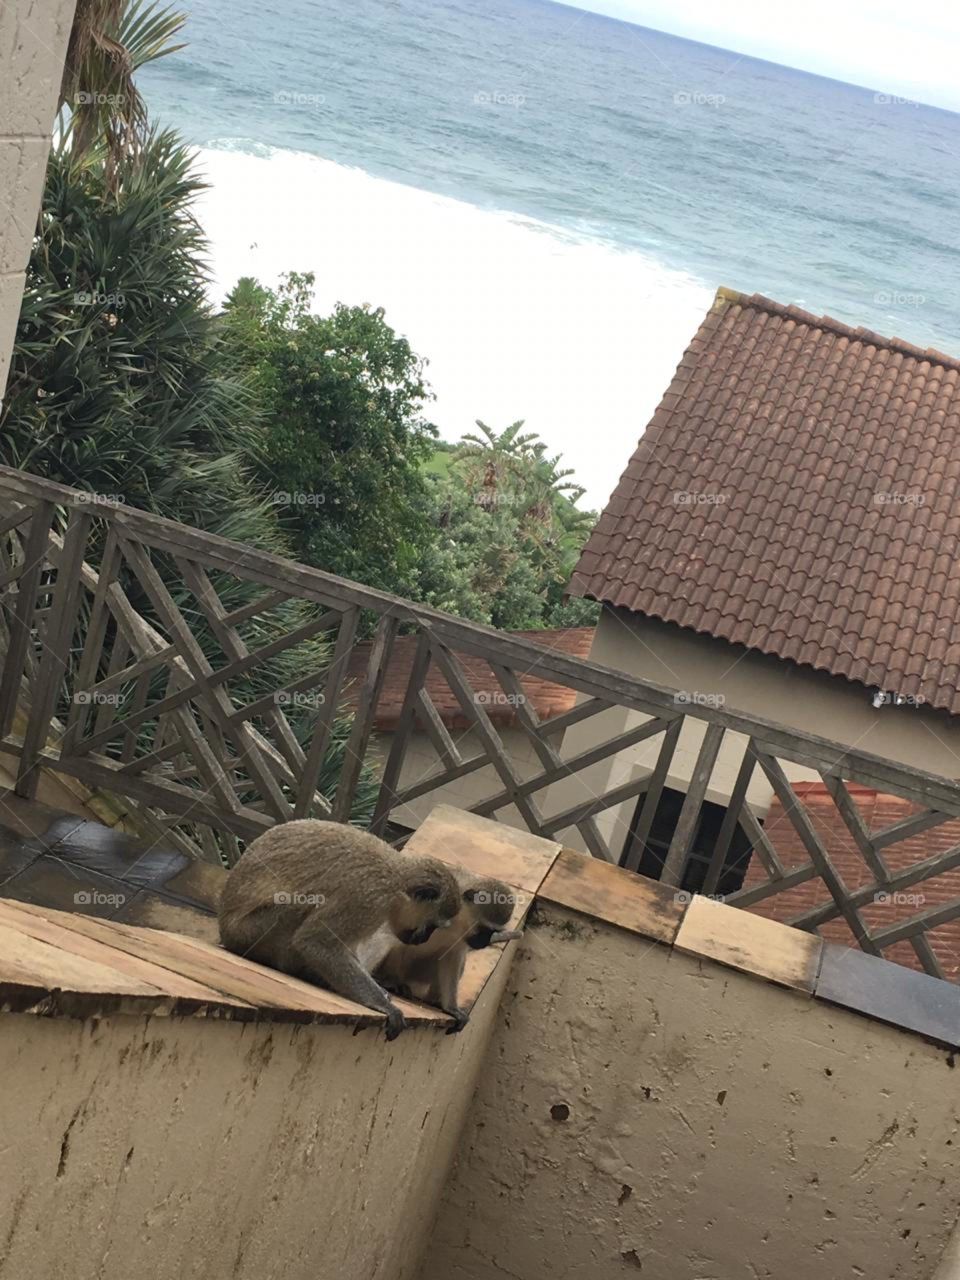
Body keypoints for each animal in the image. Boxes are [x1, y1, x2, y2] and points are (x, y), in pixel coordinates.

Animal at [218, 819, 461, 1040]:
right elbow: (315, 941)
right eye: (432, 926)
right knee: (300, 907)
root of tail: (225, 929)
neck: (396, 879)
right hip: (251, 932)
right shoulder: (367, 897)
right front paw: (384, 1005)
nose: (424, 938)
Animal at [374, 872, 523, 1032]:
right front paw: (391, 981)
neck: (458, 921)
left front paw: (451, 1008)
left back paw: (433, 1000)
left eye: (493, 932)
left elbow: (452, 958)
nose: (483, 943)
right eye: (483, 929)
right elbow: (398, 939)